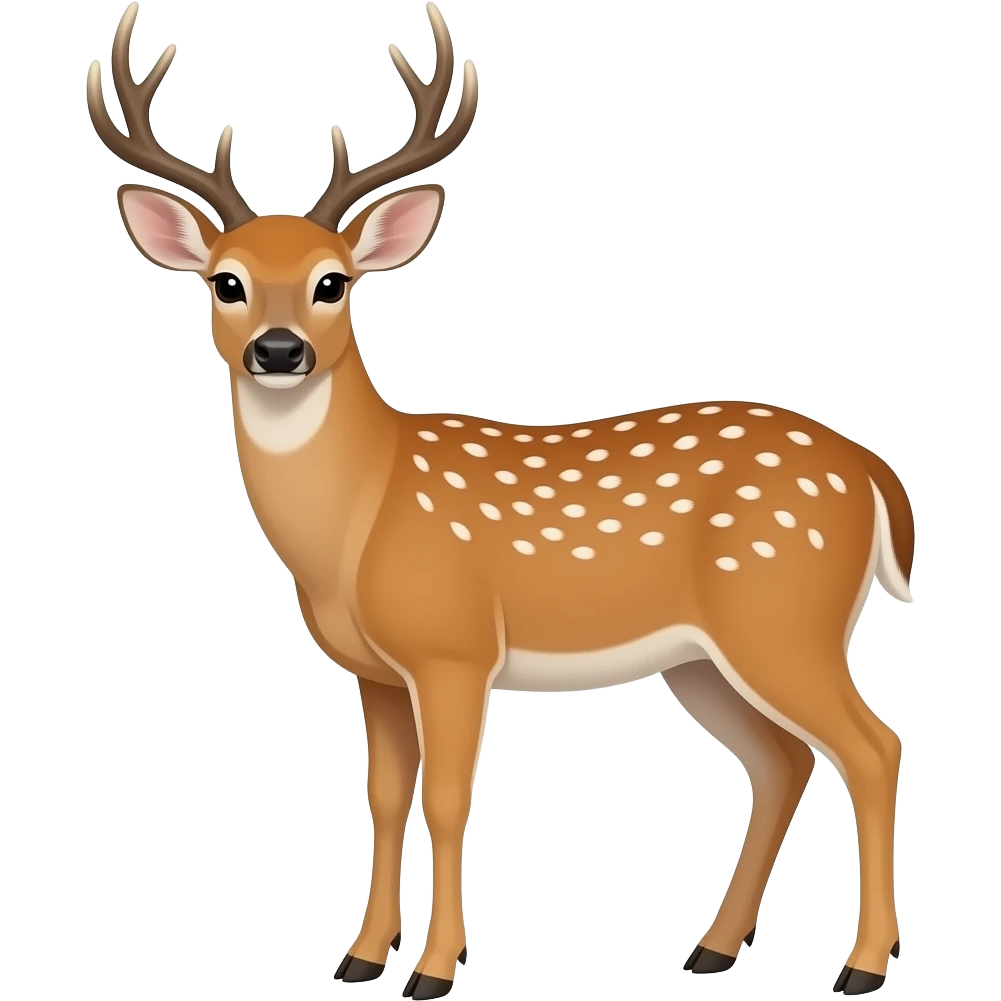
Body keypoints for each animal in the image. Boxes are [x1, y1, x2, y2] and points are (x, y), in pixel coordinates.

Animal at [86, 3, 913, 997]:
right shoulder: (375, 670)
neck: (358, 519)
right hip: (703, 657)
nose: (278, 351)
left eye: (334, 281)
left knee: (871, 747)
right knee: (782, 760)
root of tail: (872, 472)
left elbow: (446, 799)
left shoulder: (453, 647)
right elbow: (382, 796)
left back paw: (859, 966)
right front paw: (361, 956)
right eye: (226, 281)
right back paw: (711, 948)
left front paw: (436, 968)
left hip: (785, 614)